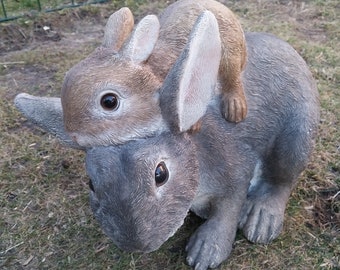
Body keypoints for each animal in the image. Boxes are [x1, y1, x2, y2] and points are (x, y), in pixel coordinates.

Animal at [14, 10, 320, 270]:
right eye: (91, 182)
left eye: (160, 174)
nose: (136, 244)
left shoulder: (235, 172)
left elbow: (227, 211)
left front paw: (205, 252)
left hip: (296, 135)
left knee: (282, 179)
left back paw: (261, 220)